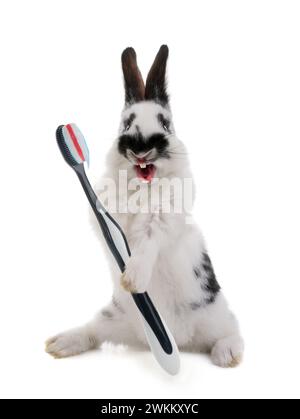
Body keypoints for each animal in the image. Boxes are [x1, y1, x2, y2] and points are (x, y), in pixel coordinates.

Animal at [46, 44, 244, 370]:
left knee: (232, 332)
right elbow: (113, 232)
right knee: (92, 332)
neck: (142, 185)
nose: (140, 146)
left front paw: (133, 278)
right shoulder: (107, 213)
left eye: (165, 123)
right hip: (114, 316)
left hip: (216, 315)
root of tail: (182, 340)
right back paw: (60, 343)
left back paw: (227, 354)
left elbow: (148, 242)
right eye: (126, 123)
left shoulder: (165, 218)